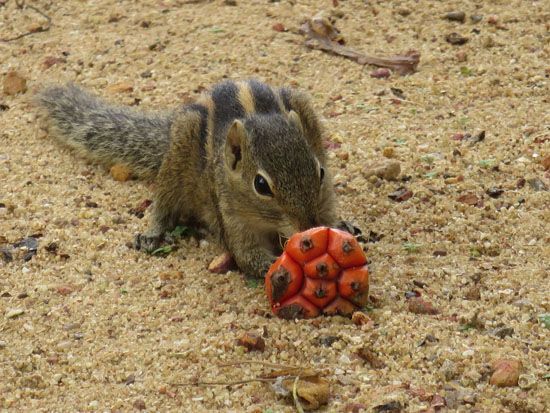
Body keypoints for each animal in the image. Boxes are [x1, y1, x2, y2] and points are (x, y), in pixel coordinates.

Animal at [36, 78, 338, 276]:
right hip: (181, 144)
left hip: (303, 106)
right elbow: (246, 256)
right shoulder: (231, 218)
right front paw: (275, 268)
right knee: (164, 202)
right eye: (261, 185)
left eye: (321, 172)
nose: (309, 226)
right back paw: (153, 233)